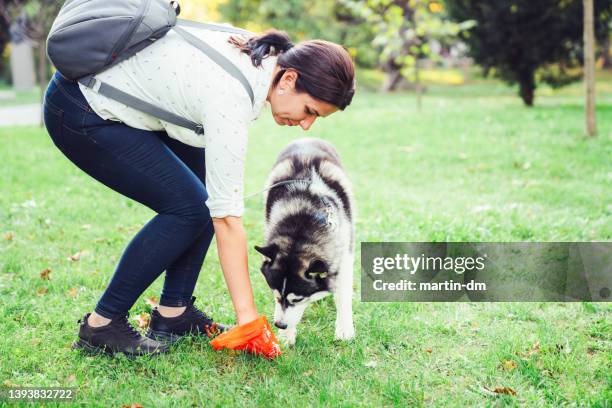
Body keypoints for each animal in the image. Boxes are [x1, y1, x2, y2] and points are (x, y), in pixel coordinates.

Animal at [256, 138, 356, 344]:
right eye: (276, 296)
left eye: (298, 300)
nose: (280, 325)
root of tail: (307, 138)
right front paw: (286, 336)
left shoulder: (344, 254)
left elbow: (343, 294)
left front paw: (344, 330)